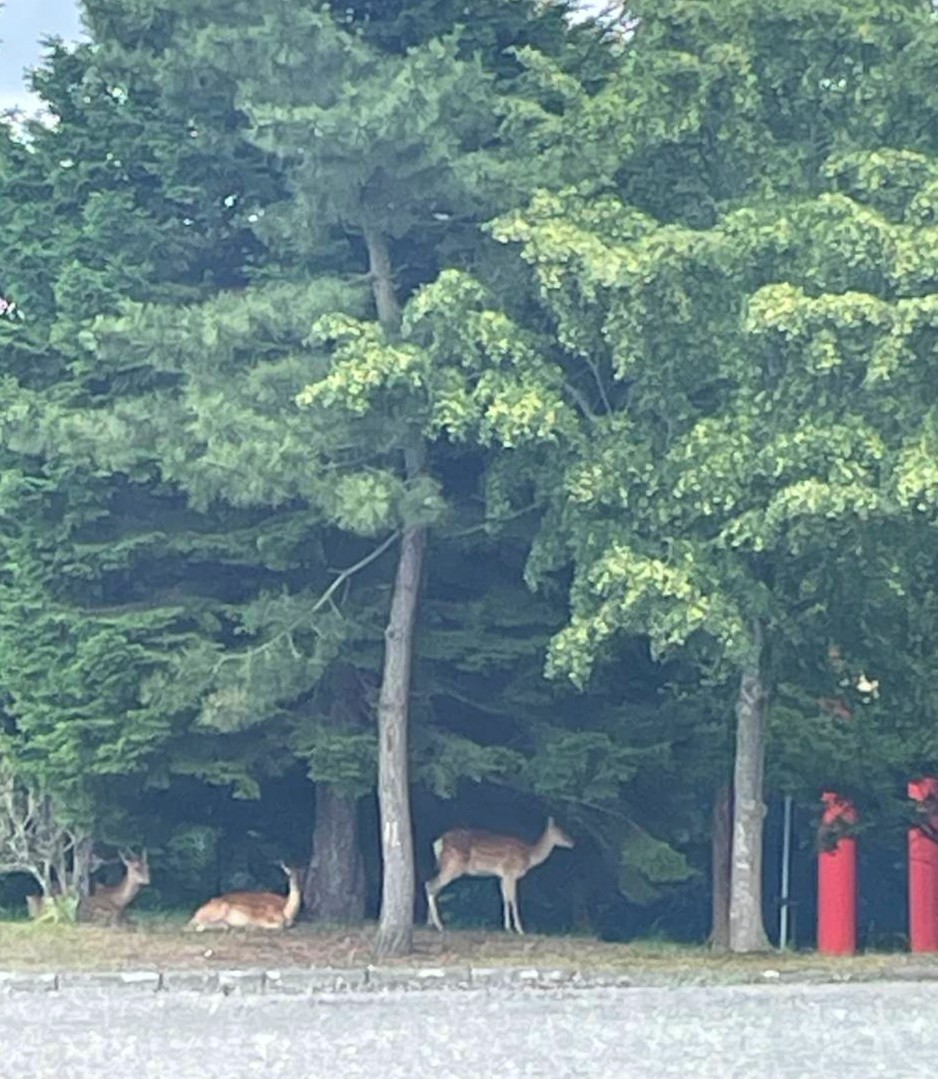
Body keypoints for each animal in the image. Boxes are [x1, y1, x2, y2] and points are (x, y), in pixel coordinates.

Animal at [426, 817, 574, 934]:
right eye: (560, 831)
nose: (572, 842)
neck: (529, 857)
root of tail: (438, 842)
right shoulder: (511, 873)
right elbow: (513, 899)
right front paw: (519, 929)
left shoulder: (502, 877)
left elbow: (505, 899)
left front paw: (507, 927)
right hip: (454, 865)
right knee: (431, 885)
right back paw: (439, 926)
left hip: (445, 866)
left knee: (434, 887)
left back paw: (430, 923)